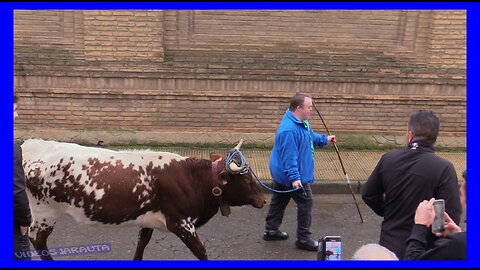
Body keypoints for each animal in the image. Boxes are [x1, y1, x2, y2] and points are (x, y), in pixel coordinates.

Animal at [22, 139, 266, 260]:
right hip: (44, 212)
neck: (191, 178)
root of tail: (31, 144)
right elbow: (202, 252)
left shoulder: (148, 219)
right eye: (245, 180)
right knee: (37, 239)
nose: (263, 200)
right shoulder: (182, 224)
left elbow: (142, 243)